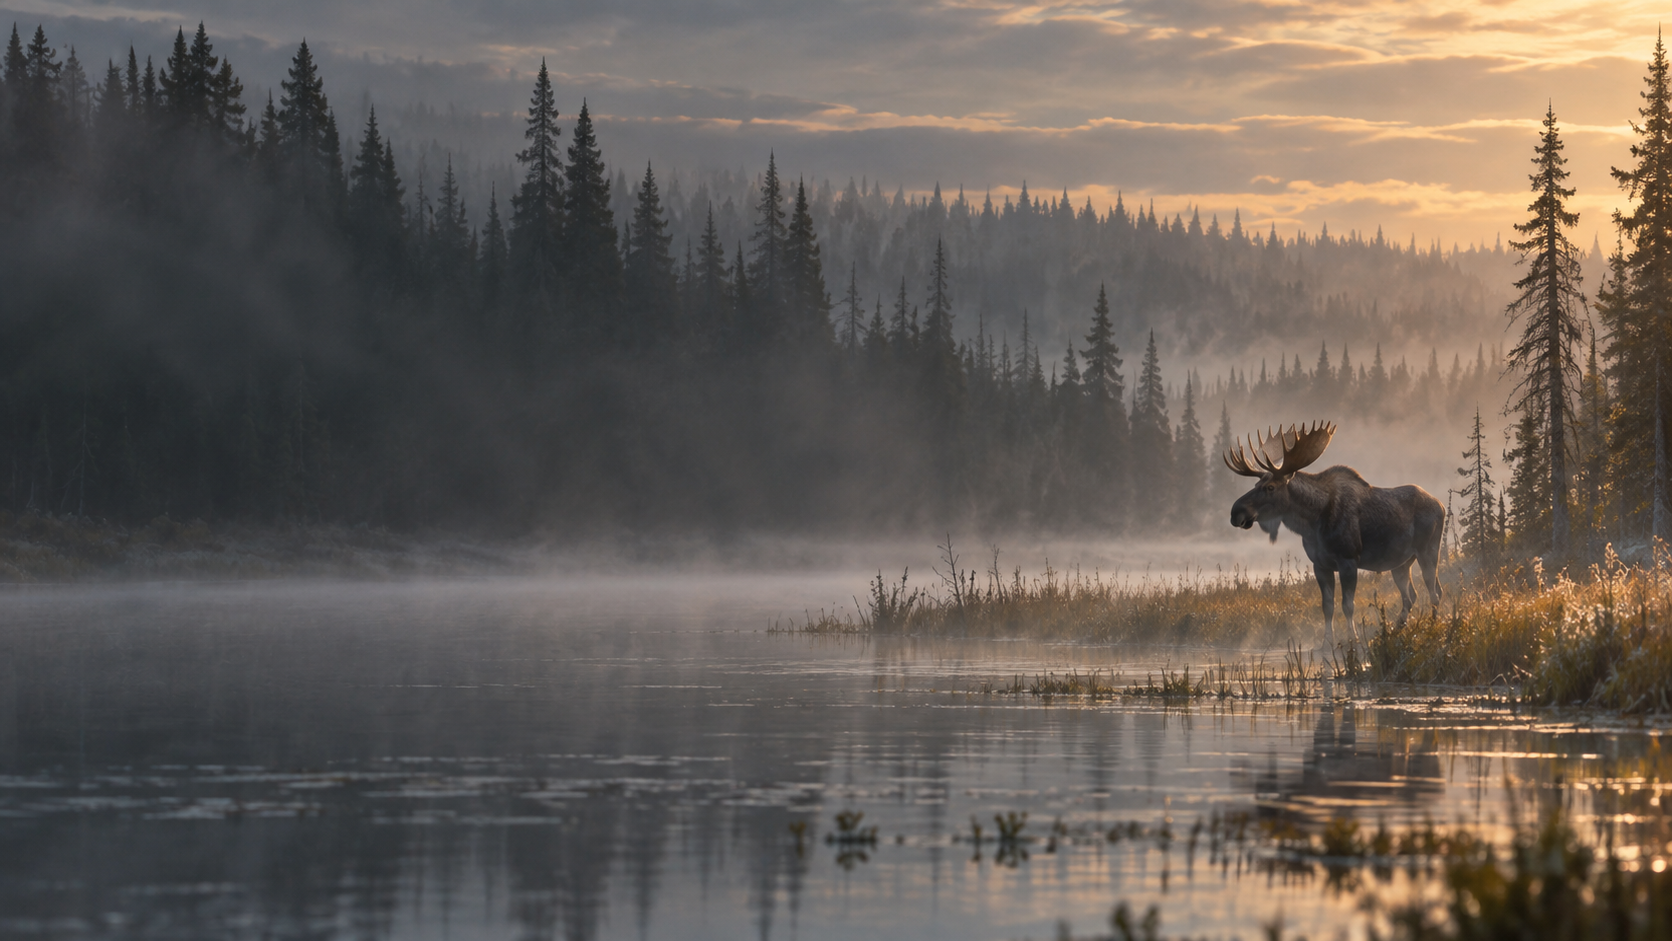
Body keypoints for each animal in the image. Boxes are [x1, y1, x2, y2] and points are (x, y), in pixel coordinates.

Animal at [1224, 421, 1444, 650]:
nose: (1236, 512)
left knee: (1435, 591)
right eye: (1255, 485)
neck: (1313, 523)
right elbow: (1327, 606)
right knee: (1411, 595)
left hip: (1428, 551)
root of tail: (1441, 505)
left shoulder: (1349, 560)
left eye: (1270, 487)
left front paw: (1353, 639)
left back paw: (1432, 628)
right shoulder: (1320, 564)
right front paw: (1326, 642)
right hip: (1400, 563)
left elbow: (1348, 605)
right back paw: (1396, 629)